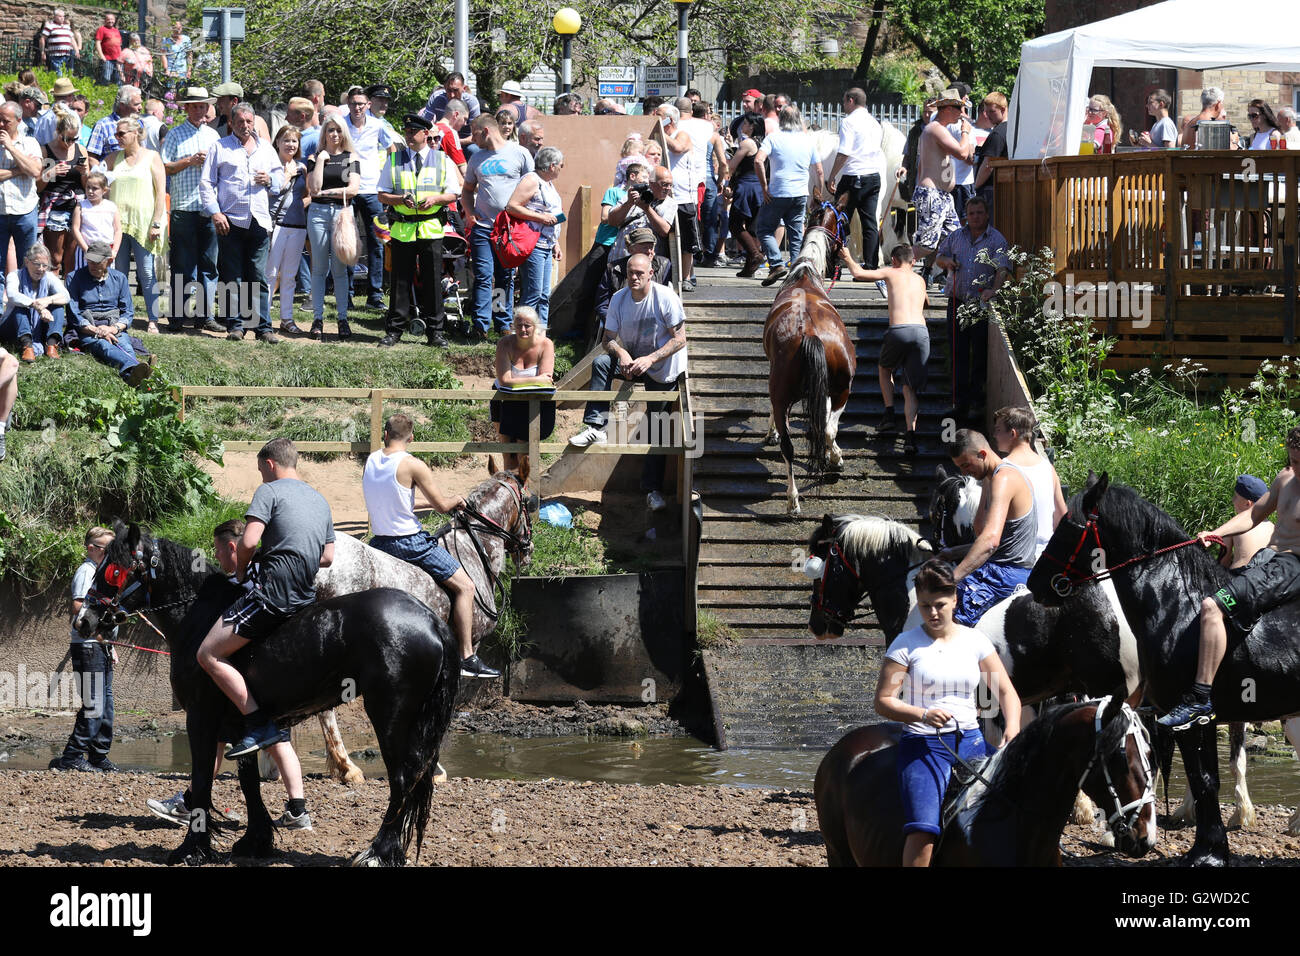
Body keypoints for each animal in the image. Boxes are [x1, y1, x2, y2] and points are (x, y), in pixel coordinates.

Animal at [1029, 473, 1300, 868]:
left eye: (1069, 526)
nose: (1035, 583)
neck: (1177, 608)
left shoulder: (1187, 719)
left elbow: (1202, 781)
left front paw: (1208, 853)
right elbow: (1202, 779)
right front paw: (1207, 847)